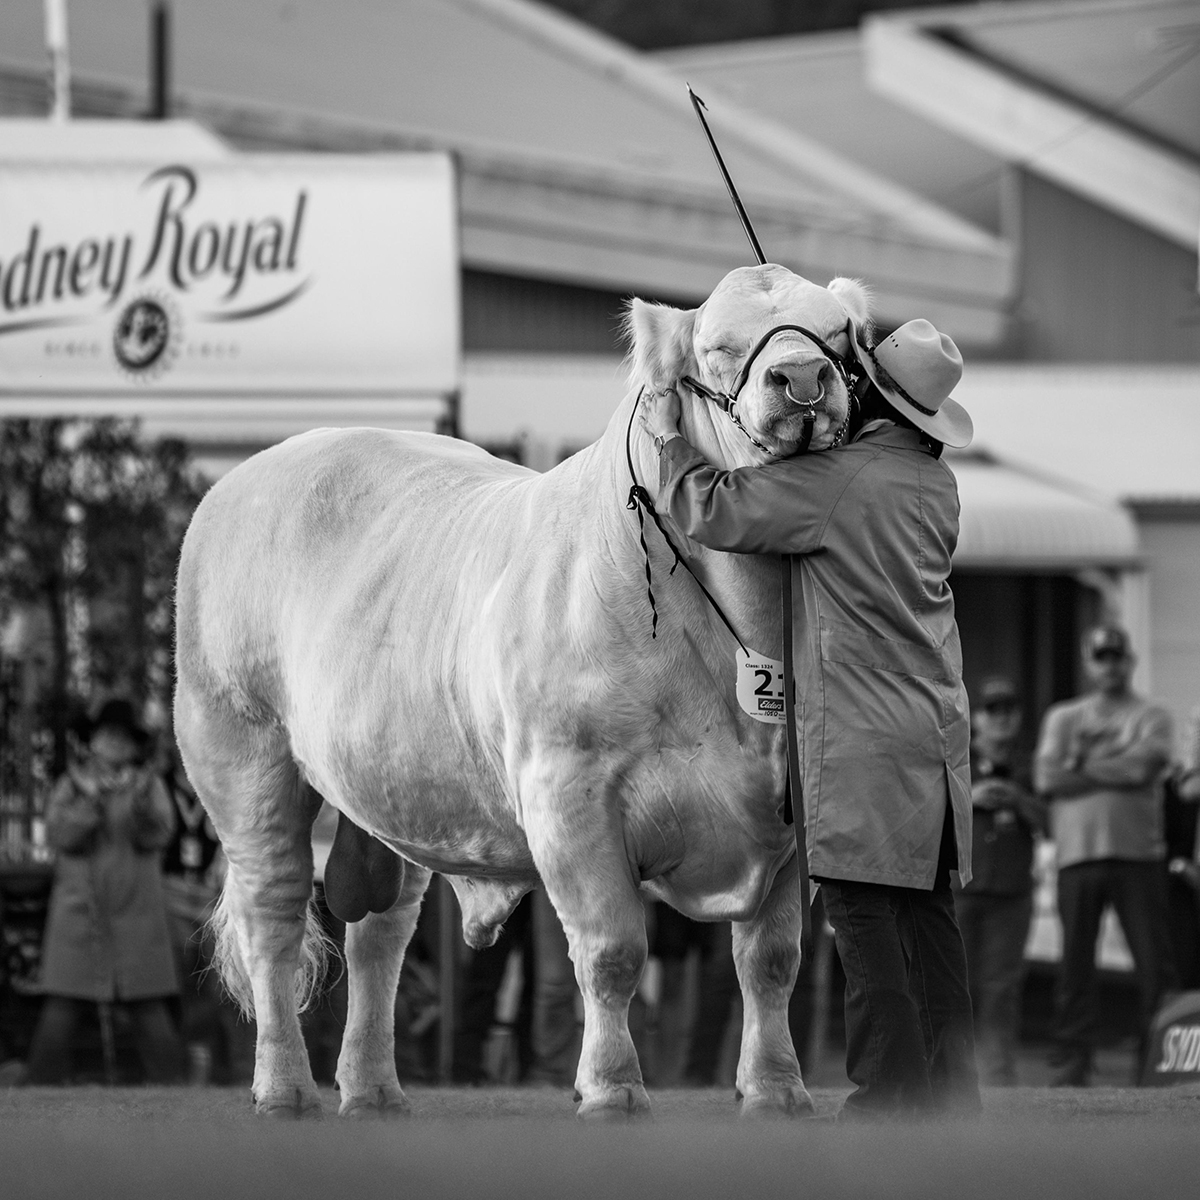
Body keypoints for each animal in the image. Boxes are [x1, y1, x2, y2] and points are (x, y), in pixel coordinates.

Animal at [174, 263, 872, 1119]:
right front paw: (612, 1087)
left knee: (381, 934)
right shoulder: (568, 794)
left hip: (400, 785)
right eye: (717, 347)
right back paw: (283, 1088)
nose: (802, 379)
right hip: (241, 754)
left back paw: (372, 1088)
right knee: (270, 919)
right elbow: (612, 952)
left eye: (838, 333)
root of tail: (260, 468)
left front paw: (775, 1089)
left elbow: (772, 959)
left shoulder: (792, 808)